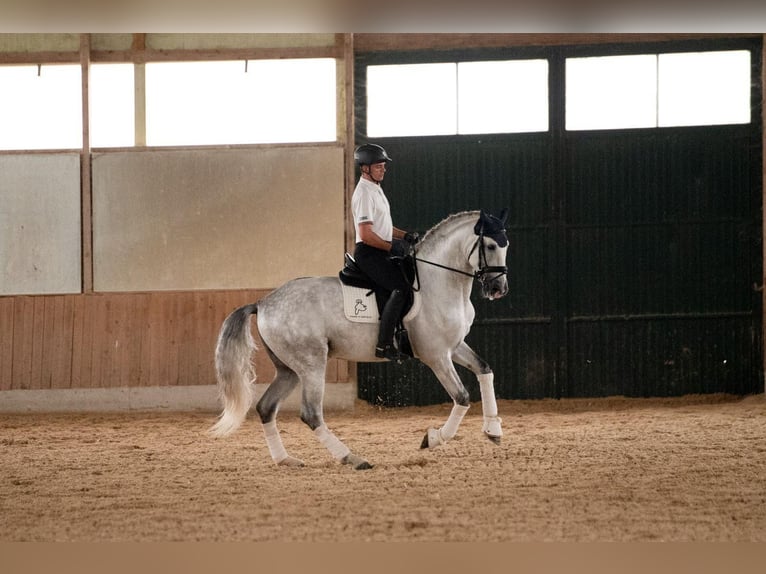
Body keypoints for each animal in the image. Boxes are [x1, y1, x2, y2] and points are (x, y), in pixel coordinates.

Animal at [207, 209, 512, 470]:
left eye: (506, 245)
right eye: (490, 246)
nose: (498, 289)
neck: (439, 282)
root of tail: (263, 303)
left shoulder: (454, 347)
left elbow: (485, 370)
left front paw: (493, 430)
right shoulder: (436, 356)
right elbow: (462, 397)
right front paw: (433, 438)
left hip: (289, 369)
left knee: (266, 407)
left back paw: (286, 460)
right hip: (311, 364)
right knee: (311, 414)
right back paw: (352, 458)